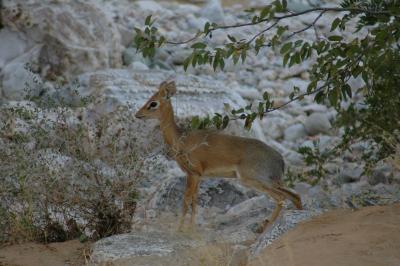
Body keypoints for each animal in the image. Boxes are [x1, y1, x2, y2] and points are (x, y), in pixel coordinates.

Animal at [136, 81, 302, 233]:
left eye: (153, 103)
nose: (138, 115)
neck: (181, 139)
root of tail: (280, 160)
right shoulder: (198, 176)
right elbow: (195, 201)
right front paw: (190, 228)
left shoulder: (193, 174)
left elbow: (186, 201)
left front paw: (179, 229)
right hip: (270, 182)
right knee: (295, 196)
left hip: (254, 180)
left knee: (282, 198)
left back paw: (265, 227)